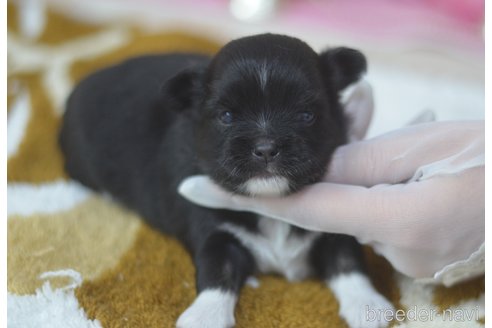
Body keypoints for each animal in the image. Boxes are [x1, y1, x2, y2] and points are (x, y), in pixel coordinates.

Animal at [60, 34, 392, 328]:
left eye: (306, 115)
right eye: (227, 117)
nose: (266, 147)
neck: (271, 205)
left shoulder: (333, 230)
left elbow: (347, 259)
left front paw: (366, 304)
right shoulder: (214, 230)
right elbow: (217, 270)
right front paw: (205, 316)